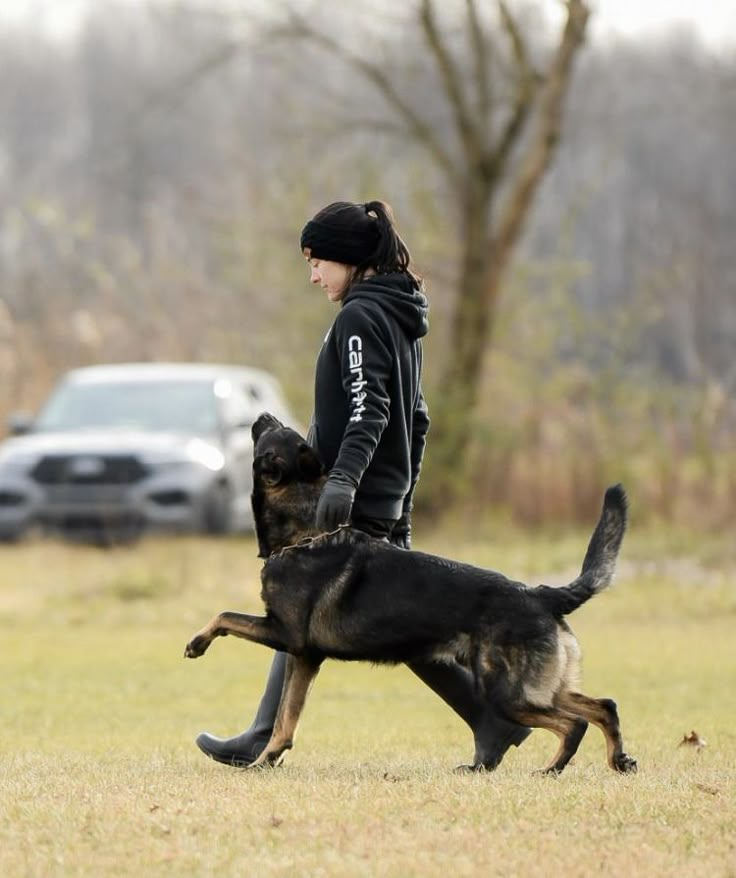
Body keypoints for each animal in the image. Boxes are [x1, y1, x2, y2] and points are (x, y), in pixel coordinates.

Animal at [185, 414, 640, 776]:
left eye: (275, 432)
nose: (261, 413)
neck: (305, 533)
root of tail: (542, 594)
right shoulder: (305, 657)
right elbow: (285, 721)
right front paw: (266, 760)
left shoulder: (284, 635)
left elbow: (225, 616)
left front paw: (198, 642)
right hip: (542, 687)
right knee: (605, 706)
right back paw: (617, 760)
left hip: (509, 692)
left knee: (573, 723)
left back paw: (551, 769)